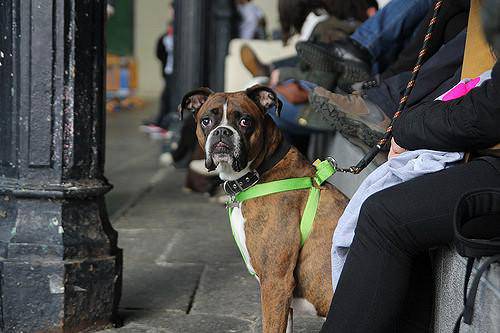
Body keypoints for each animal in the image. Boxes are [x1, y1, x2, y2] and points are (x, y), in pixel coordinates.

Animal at [180, 84, 348, 330]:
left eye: (245, 121)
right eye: (206, 121)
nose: (222, 132)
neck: (259, 174)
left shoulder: (275, 282)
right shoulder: (284, 297)